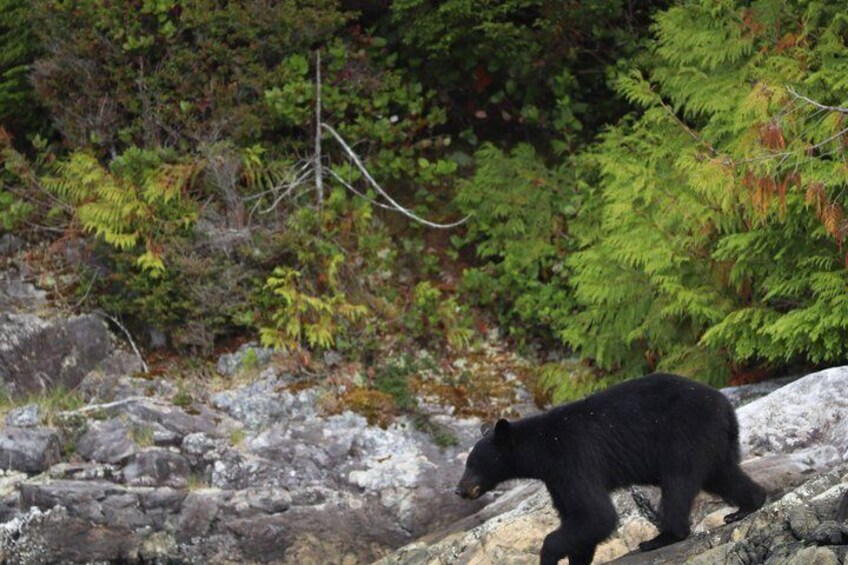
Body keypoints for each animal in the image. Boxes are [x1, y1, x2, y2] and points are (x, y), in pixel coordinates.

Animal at [455, 372, 766, 565]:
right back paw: (746, 506)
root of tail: (726, 406)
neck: (542, 447)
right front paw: (577, 558)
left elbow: (596, 514)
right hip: (711, 442)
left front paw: (549, 555)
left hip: (684, 435)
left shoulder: (573, 459)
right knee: (723, 474)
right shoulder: (555, 476)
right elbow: (579, 515)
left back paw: (660, 538)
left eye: (473, 464)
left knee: (678, 483)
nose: (459, 490)